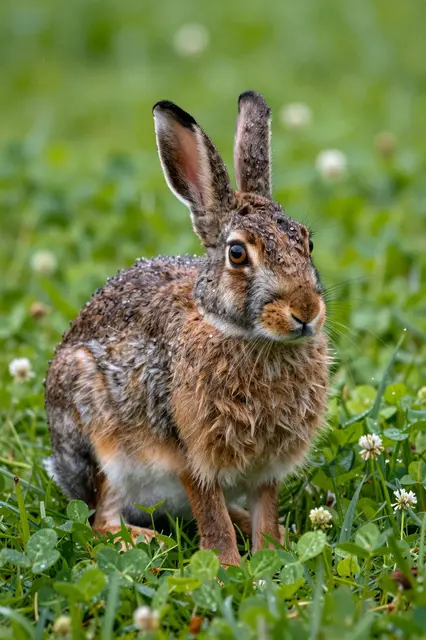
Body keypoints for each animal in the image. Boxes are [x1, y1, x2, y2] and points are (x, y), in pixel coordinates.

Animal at [45, 91, 329, 565]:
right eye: (237, 253)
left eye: (307, 242)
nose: (305, 311)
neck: (243, 334)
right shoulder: (190, 454)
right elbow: (210, 514)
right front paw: (228, 565)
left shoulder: (266, 468)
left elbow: (265, 511)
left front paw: (271, 554)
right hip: (103, 447)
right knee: (101, 521)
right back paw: (149, 544)